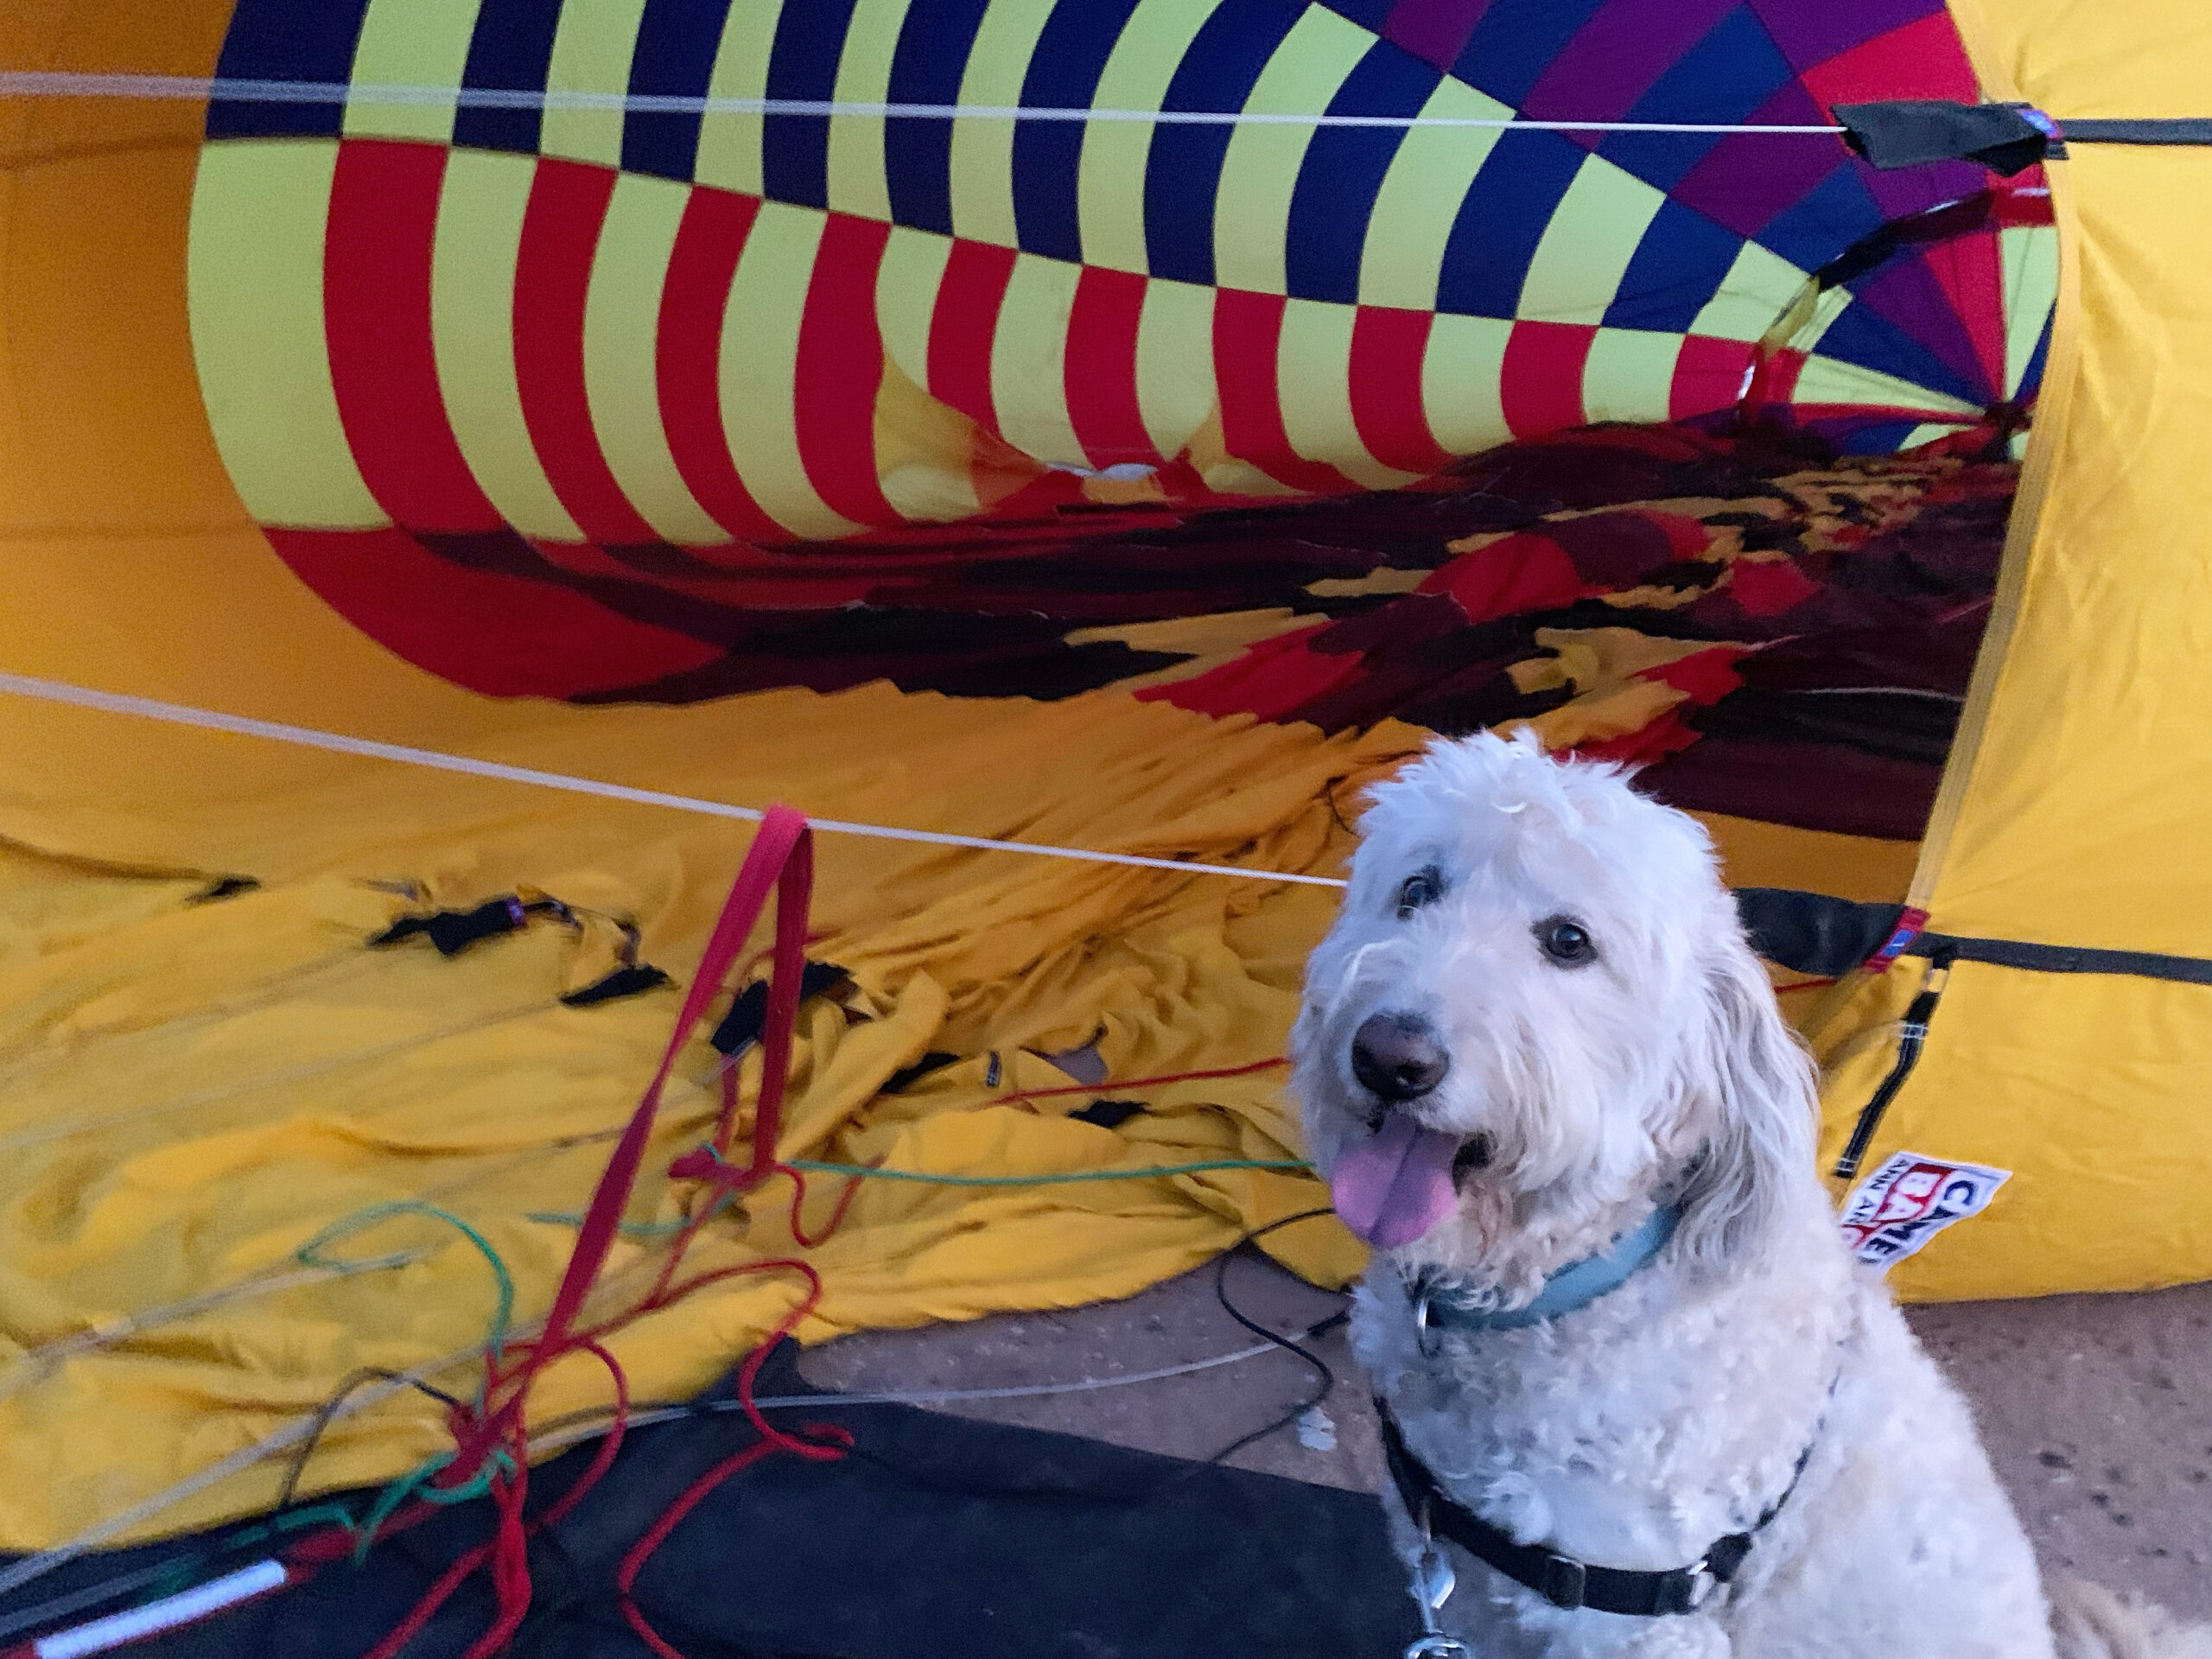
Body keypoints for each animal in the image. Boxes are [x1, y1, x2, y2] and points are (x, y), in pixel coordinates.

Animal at [1292, 734, 2202, 1659]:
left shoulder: (1627, 1619)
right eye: (1416, 889)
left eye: (1570, 941)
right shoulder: (1469, 1585)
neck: (1564, 1288)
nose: (1390, 1058)